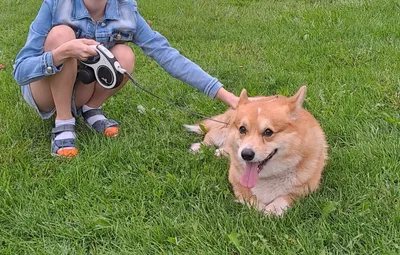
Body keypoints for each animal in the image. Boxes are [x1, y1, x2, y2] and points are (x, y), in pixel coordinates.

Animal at [186, 86, 326, 215]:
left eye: (268, 132)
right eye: (242, 129)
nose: (246, 155)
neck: (268, 176)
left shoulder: (306, 188)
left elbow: (286, 197)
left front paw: (273, 209)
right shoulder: (236, 182)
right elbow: (249, 197)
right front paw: (259, 208)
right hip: (221, 132)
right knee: (209, 136)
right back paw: (200, 147)